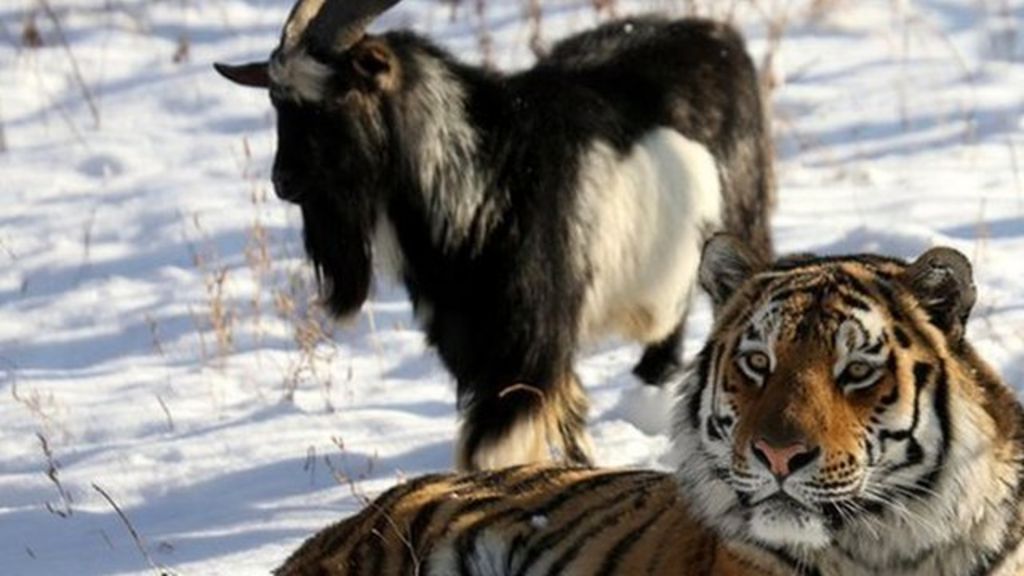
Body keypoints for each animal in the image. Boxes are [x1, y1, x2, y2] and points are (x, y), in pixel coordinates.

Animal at [215, 0, 774, 471]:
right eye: (277, 102)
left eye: (336, 99)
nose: (282, 180)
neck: (484, 177)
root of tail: (717, 36)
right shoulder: (475, 345)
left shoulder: (528, 340)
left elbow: (492, 448)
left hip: (741, 224)